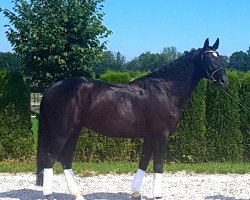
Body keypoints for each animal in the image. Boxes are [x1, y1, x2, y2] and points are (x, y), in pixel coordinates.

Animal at [35, 38, 229, 199]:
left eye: (220, 58)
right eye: (208, 59)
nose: (224, 80)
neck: (165, 91)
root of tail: (50, 89)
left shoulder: (150, 136)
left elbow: (143, 161)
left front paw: (135, 192)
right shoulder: (161, 135)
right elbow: (158, 165)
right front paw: (157, 195)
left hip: (75, 130)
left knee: (65, 158)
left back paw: (77, 194)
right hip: (62, 131)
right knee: (50, 157)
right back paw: (49, 195)